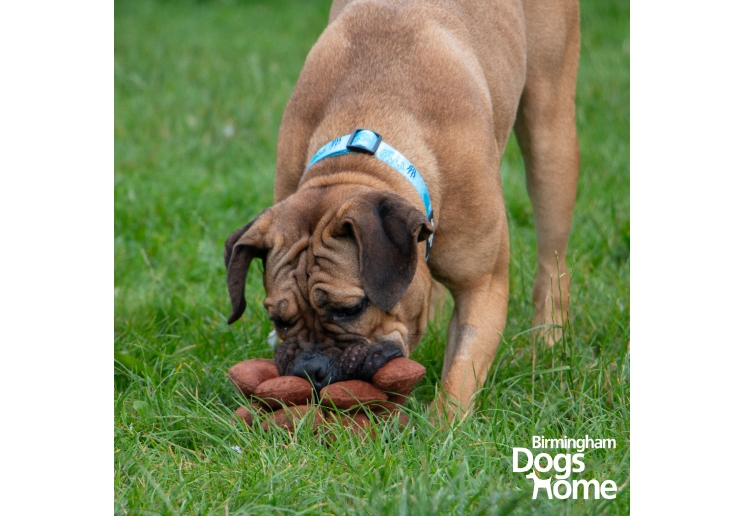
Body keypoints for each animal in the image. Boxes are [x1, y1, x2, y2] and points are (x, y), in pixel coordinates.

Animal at [222, 0, 580, 416]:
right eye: (278, 320)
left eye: (350, 309)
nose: (310, 369)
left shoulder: (484, 285)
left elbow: (462, 371)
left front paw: (442, 426)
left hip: (550, 139)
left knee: (552, 261)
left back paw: (549, 339)